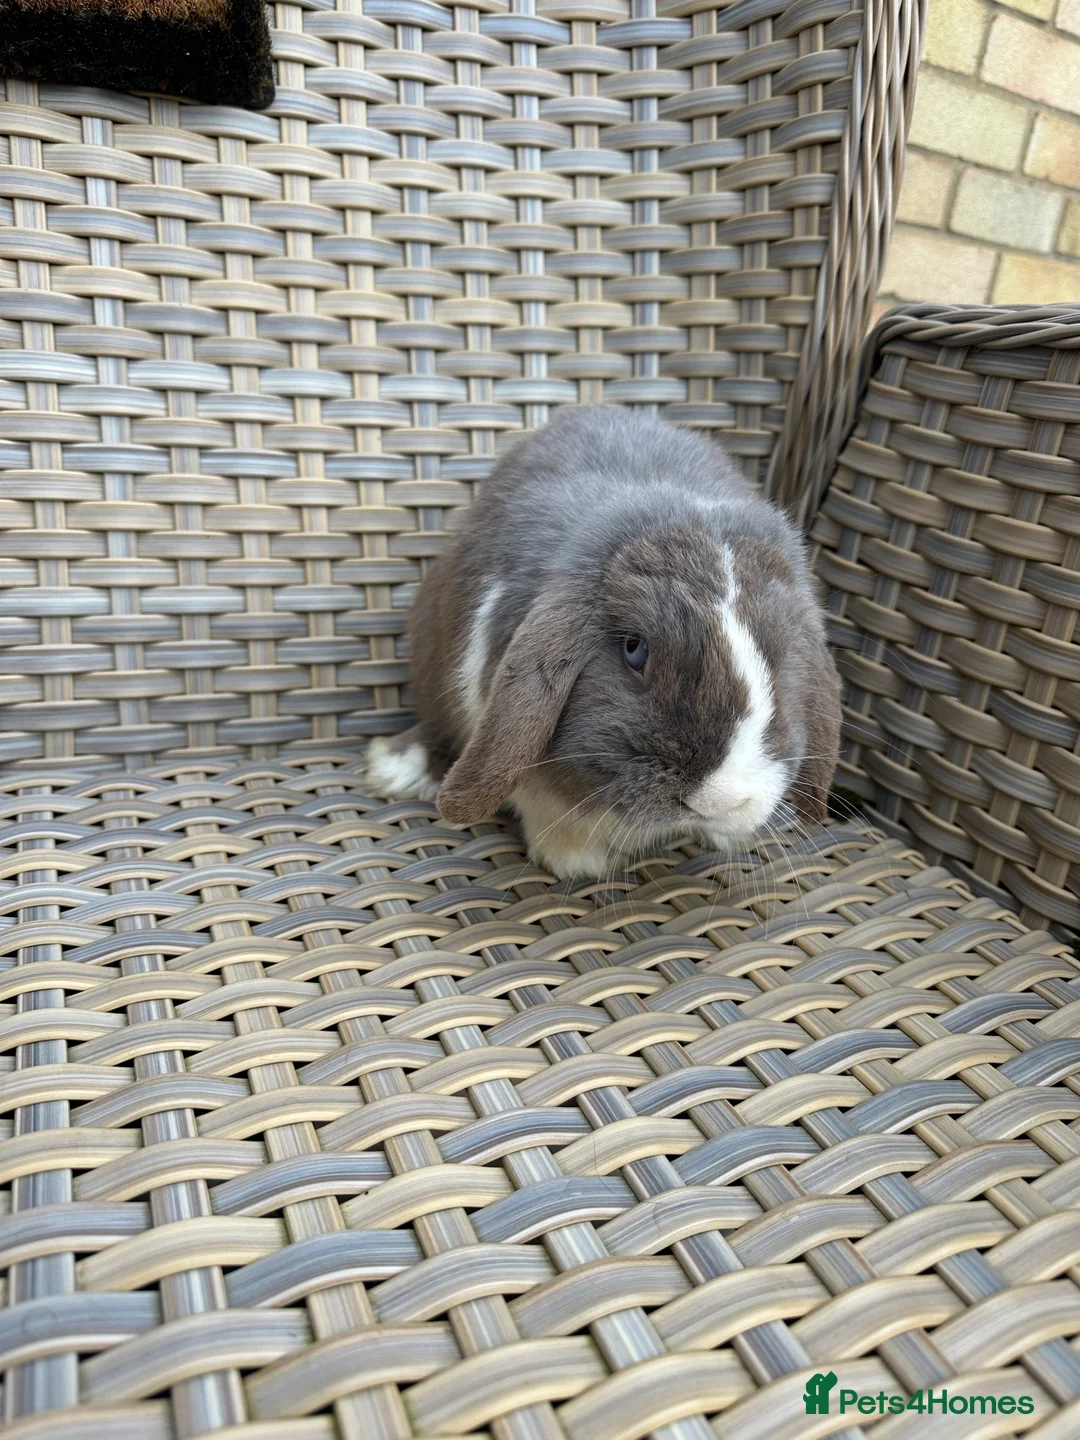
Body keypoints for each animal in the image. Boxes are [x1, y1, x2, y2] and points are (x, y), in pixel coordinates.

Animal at [366, 406, 842, 879]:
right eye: (635, 649)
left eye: (782, 662)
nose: (717, 800)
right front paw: (577, 863)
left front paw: (735, 838)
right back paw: (391, 770)